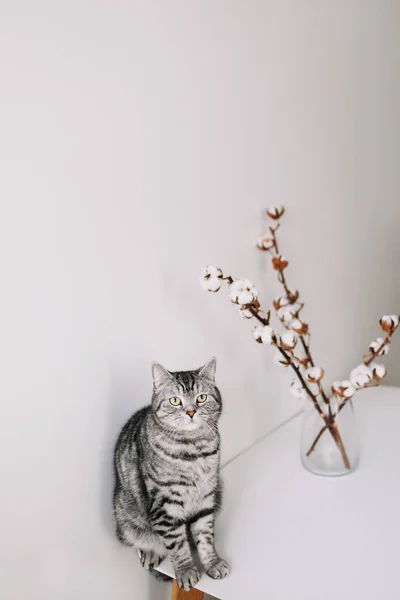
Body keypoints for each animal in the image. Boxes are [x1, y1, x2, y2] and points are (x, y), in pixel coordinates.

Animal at [114, 356, 230, 592]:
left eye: (201, 398)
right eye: (175, 401)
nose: (191, 412)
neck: (194, 451)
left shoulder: (206, 498)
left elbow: (205, 536)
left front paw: (212, 563)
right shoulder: (165, 506)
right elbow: (177, 544)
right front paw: (185, 571)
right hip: (126, 518)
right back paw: (150, 552)